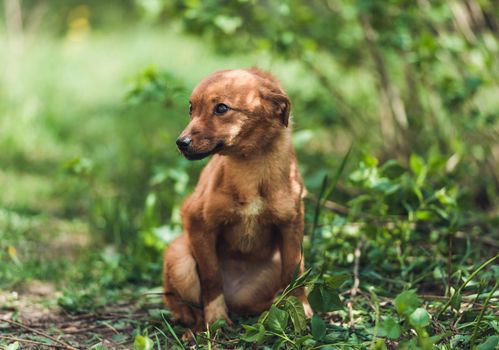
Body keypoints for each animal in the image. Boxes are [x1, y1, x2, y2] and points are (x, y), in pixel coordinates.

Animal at [164, 66, 312, 330]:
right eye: (191, 108)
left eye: (221, 108)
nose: (181, 143)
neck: (250, 165)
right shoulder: (197, 222)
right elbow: (211, 277)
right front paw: (216, 319)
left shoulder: (292, 224)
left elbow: (295, 272)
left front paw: (301, 310)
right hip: (180, 258)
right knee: (186, 309)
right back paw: (195, 328)